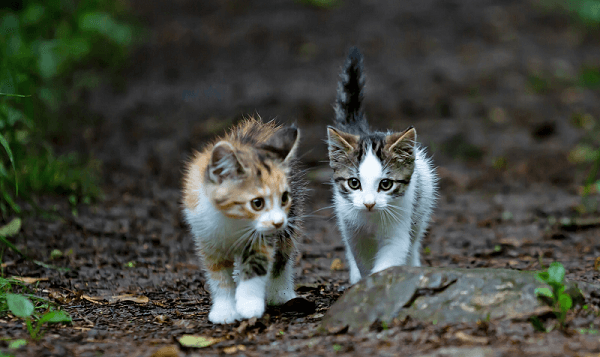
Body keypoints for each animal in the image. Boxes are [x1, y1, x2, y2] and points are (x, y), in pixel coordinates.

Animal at [182, 117, 304, 322]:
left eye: (284, 198)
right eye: (257, 203)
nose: (278, 222)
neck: (233, 220)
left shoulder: (264, 236)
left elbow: (258, 264)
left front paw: (249, 305)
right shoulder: (206, 236)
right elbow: (218, 275)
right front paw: (224, 310)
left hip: (291, 219)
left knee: (283, 255)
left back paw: (281, 292)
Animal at [326, 47, 438, 284]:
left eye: (386, 184)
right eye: (354, 183)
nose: (369, 204)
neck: (371, 219)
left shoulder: (400, 222)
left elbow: (392, 256)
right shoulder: (352, 229)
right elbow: (362, 258)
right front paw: (363, 283)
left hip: (422, 206)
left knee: (414, 242)